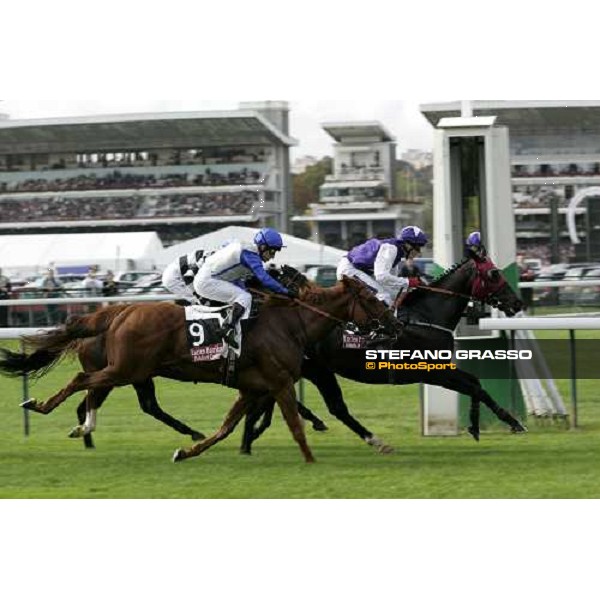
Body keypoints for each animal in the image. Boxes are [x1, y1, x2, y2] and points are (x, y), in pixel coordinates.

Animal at [1, 278, 398, 464]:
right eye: (372, 298)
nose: (394, 322)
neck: (290, 323)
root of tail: (120, 310)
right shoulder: (281, 382)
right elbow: (296, 425)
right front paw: (312, 459)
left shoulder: (253, 388)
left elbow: (225, 429)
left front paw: (187, 452)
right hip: (125, 369)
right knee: (83, 382)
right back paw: (42, 407)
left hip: (131, 372)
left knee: (105, 396)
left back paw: (84, 427)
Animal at [239, 254, 524, 454]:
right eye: (494, 274)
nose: (516, 303)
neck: (426, 316)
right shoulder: (432, 372)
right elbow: (475, 387)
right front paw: (511, 422)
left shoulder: (439, 370)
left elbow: (475, 383)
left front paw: (479, 425)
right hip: (314, 370)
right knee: (328, 406)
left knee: (274, 400)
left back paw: (251, 437)